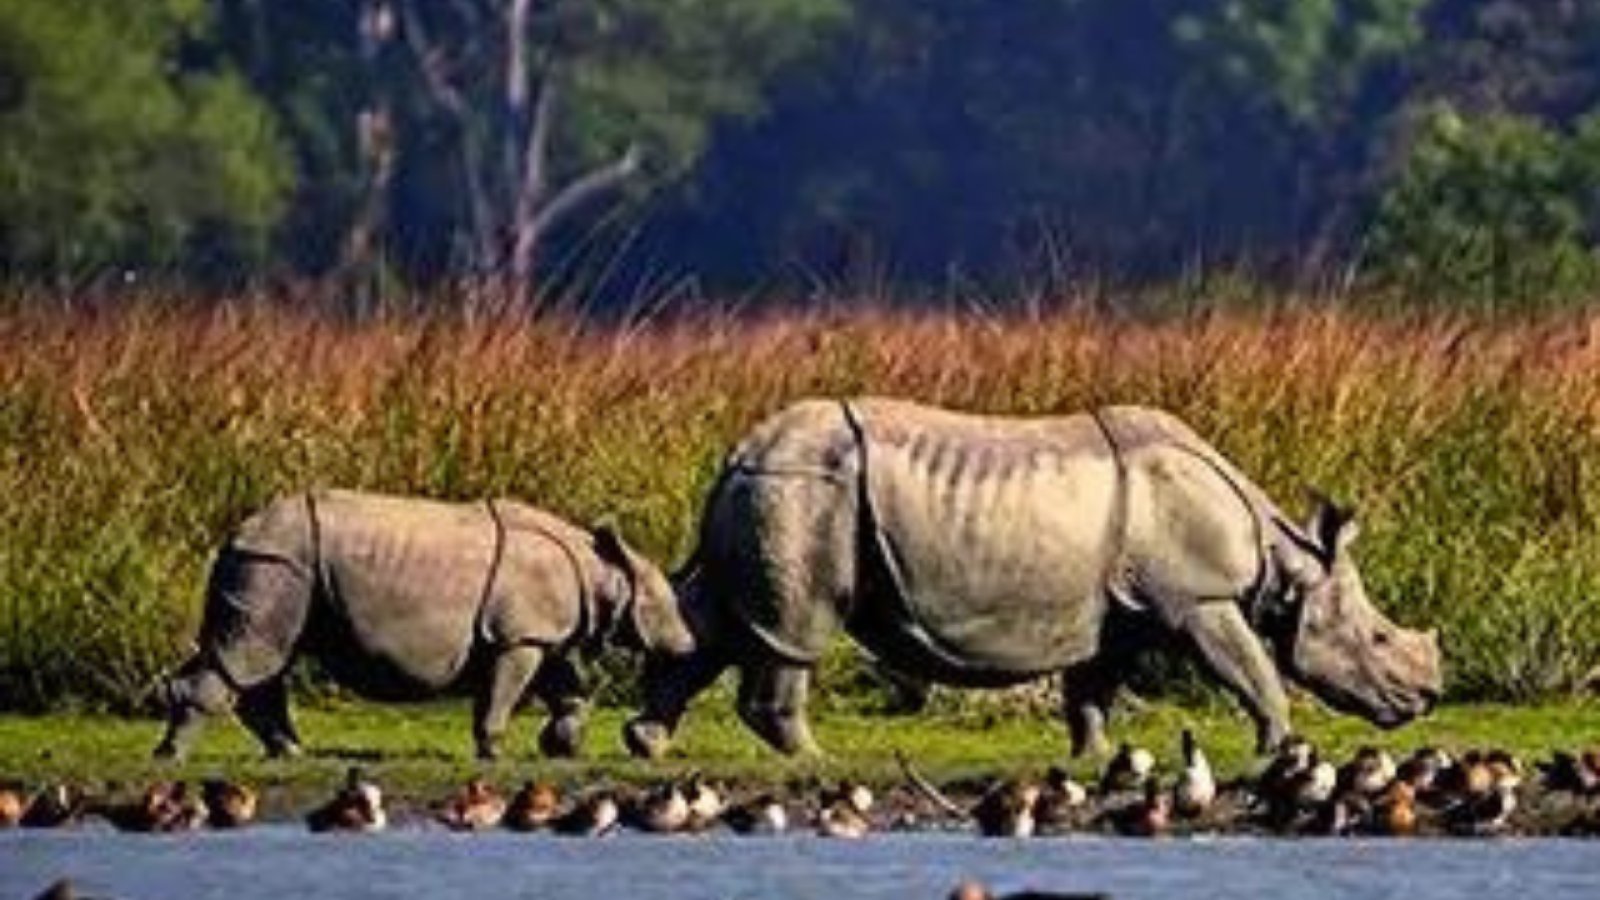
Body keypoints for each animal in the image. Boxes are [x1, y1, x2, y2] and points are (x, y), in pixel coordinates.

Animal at [155, 490, 691, 761]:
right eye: (667, 608)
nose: (688, 646)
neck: (605, 573)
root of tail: (237, 534)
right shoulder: (518, 637)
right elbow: (502, 692)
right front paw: (494, 752)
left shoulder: (541, 634)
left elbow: (569, 691)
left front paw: (561, 745)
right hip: (277, 562)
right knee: (254, 654)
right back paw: (175, 757)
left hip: (282, 565)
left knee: (264, 658)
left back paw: (289, 753)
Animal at [624, 398, 1442, 759]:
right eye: (1376, 639)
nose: (1427, 699)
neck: (1284, 561)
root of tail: (737, 455)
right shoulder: (1197, 599)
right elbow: (1251, 669)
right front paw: (1278, 748)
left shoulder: (1122, 610)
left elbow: (1093, 689)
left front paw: (1097, 760)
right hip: (804, 491)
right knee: (796, 630)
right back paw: (818, 764)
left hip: (771, 490)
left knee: (717, 620)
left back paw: (647, 745)